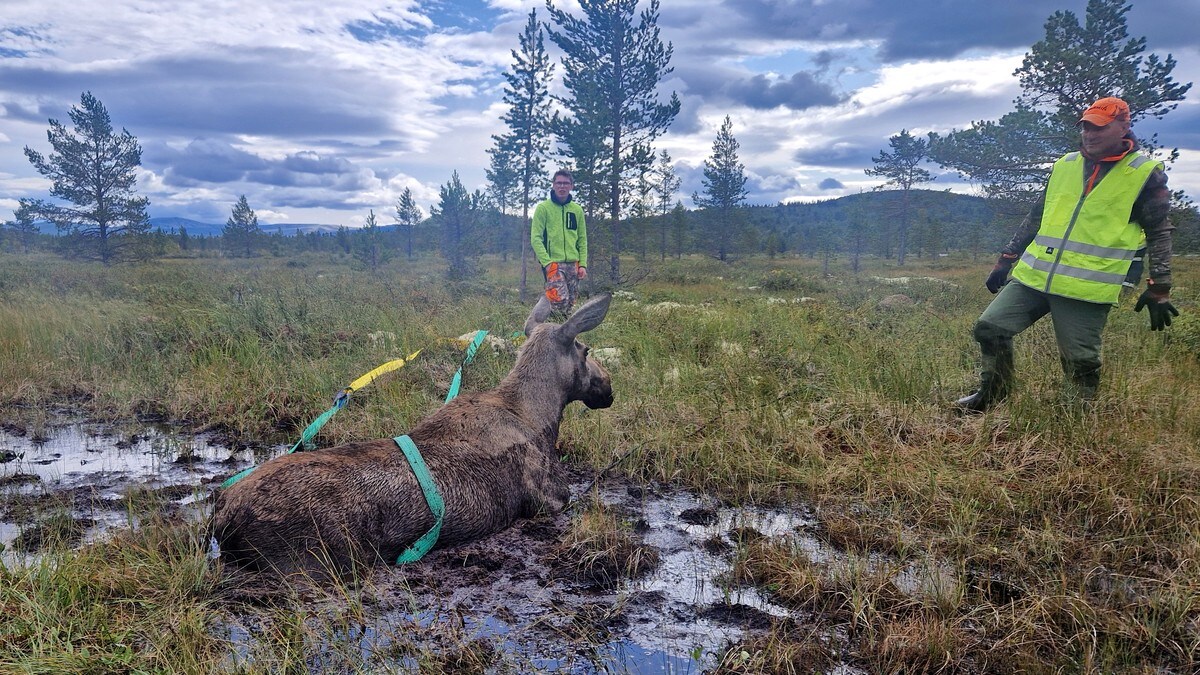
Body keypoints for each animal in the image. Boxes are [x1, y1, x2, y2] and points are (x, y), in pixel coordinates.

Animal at [208, 291, 609, 576]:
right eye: (587, 349)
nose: (608, 387)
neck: (542, 416)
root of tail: (222, 515)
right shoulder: (550, 499)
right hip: (311, 561)